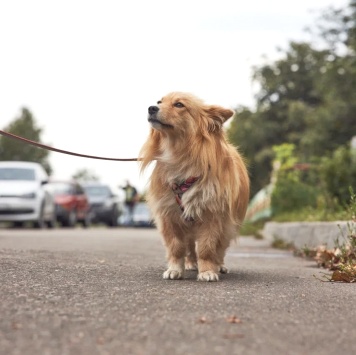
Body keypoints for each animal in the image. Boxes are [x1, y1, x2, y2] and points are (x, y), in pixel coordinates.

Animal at [140, 93, 250, 282]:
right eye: (159, 102)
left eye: (179, 105)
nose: (151, 108)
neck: (180, 156)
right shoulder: (169, 215)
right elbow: (176, 247)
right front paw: (175, 269)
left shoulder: (213, 215)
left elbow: (207, 247)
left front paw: (207, 270)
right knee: (190, 246)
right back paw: (191, 263)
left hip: (227, 225)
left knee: (220, 248)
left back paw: (219, 265)